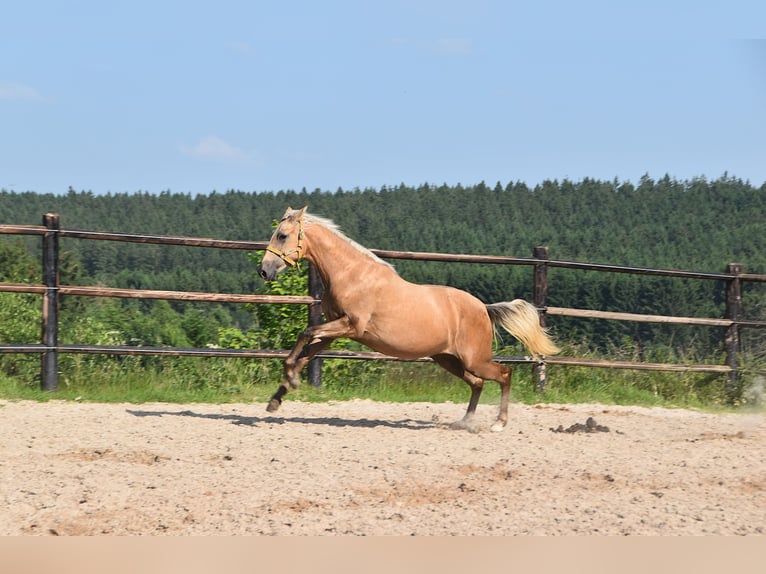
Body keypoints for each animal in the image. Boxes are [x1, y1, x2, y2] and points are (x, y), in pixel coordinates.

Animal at [257, 206, 560, 432]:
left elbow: (306, 333)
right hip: (447, 359)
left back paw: (499, 423)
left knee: (504, 374)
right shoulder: (336, 330)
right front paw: (278, 397)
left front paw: (290, 380)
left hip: (475, 359)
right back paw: (464, 421)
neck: (352, 274)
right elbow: (306, 352)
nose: (264, 271)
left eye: (282, 235)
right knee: (477, 383)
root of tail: (483, 308)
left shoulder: (350, 325)